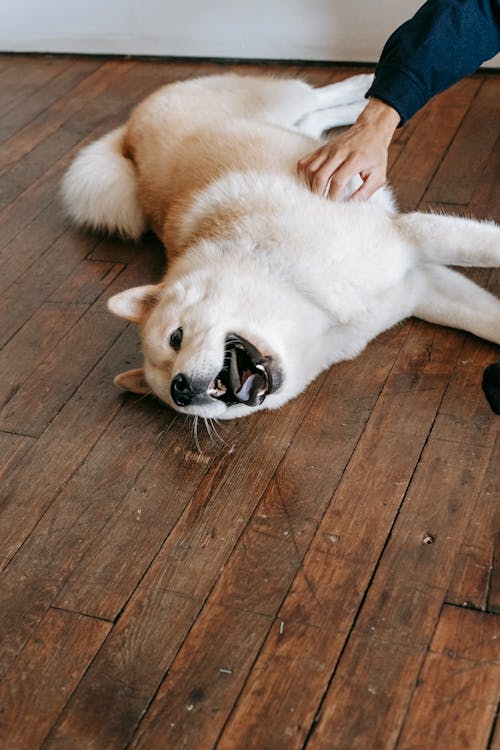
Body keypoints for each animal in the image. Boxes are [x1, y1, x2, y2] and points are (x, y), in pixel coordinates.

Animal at [62, 72, 500, 420]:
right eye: (172, 398)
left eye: (176, 338)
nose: (180, 387)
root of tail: (129, 133)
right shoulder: (420, 283)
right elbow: (486, 319)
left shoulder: (411, 239)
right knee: (313, 121)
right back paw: (358, 106)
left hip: (282, 99)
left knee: (315, 98)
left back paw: (361, 89)